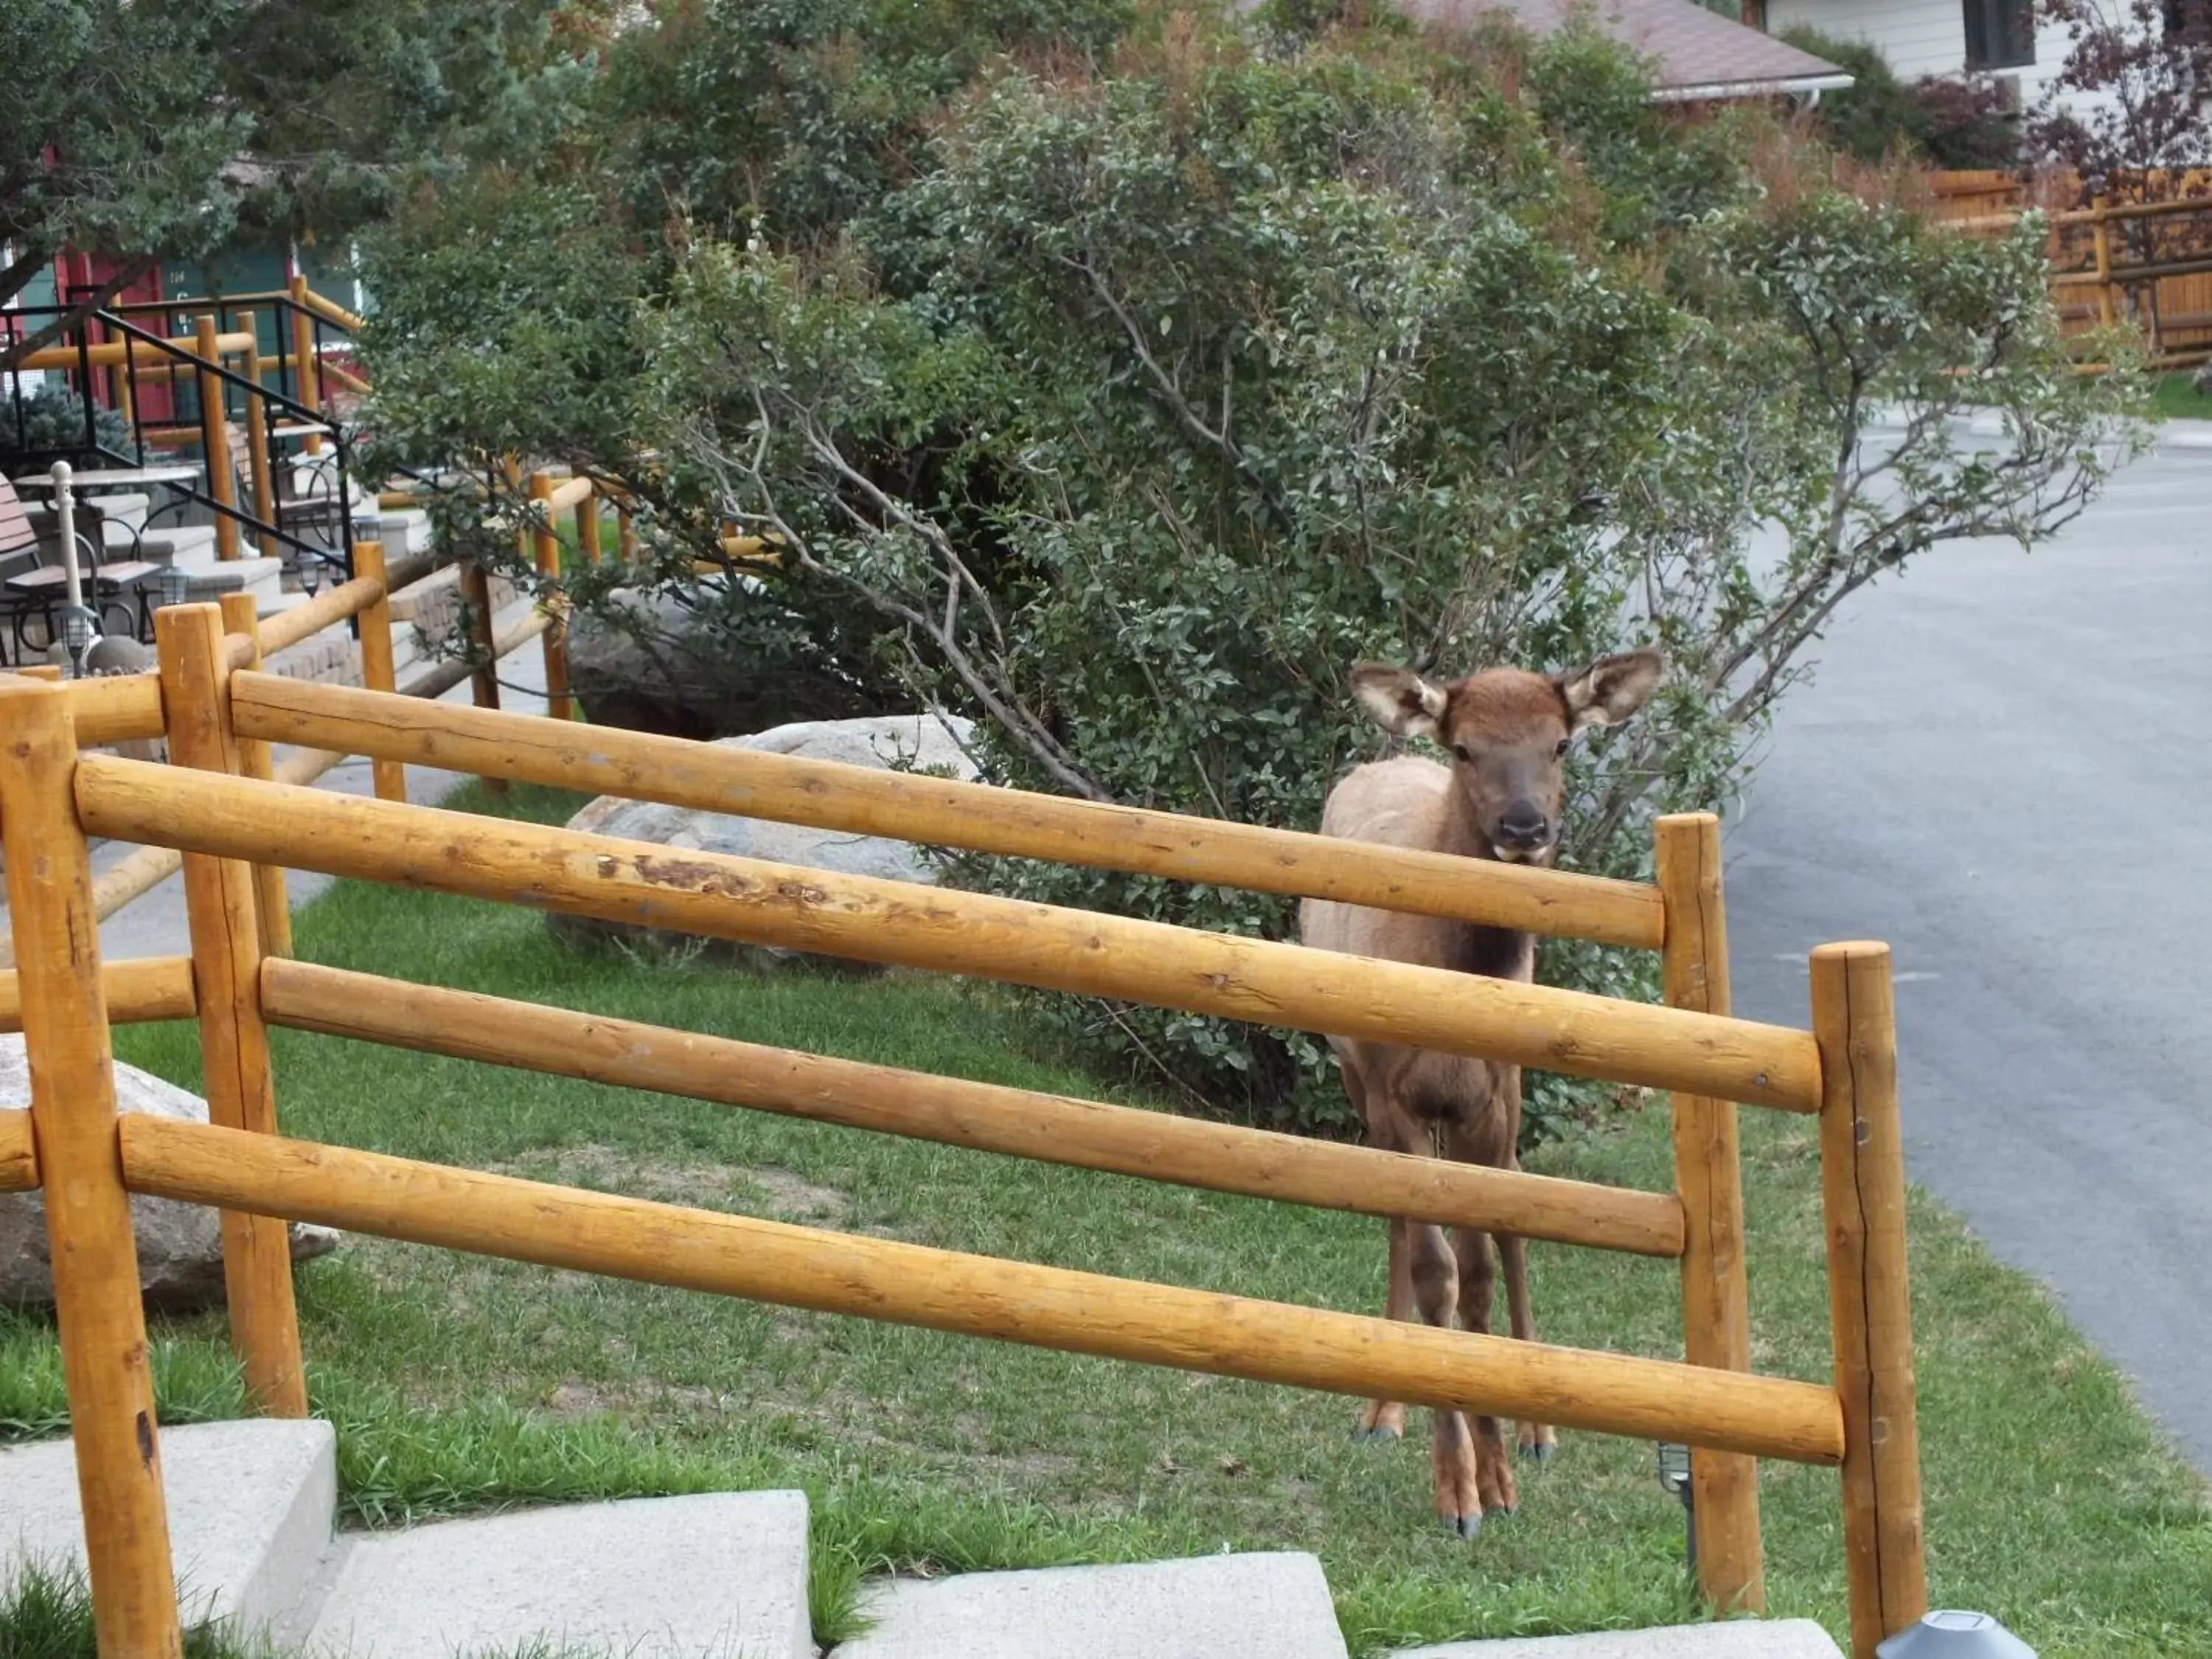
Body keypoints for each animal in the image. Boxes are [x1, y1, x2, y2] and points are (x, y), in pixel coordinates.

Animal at [1292, 646, 1663, 1531]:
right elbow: (1439, 1271)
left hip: (1510, 1097)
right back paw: (1382, 1412)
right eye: (1465, 748)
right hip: (1358, 1080)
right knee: (1398, 1221)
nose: (1524, 827)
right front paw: (1457, 1488)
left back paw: (1538, 1432)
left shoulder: (1489, 1100)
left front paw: (1498, 1475)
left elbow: (1484, 1270)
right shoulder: (1392, 1088)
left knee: (1517, 1216)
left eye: (1561, 742)